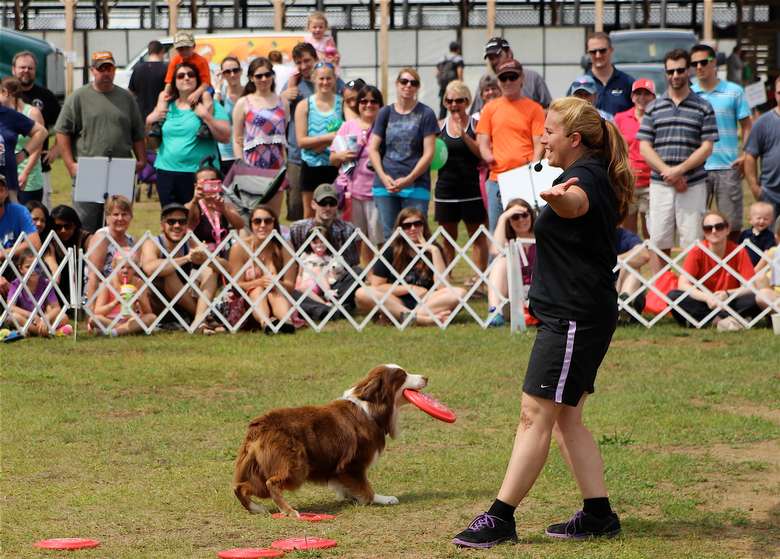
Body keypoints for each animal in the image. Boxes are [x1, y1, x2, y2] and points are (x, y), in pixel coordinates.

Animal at [233, 364, 426, 516]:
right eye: (402, 375)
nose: (426, 377)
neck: (372, 406)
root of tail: (258, 426)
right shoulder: (353, 463)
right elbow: (366, 488)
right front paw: (383, 499)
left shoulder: (339, 468)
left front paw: (350, 496)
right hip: (296, 466)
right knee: (271, 483)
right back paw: (289, 511)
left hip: (260, 468)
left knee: (240, 487)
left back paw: (257, 508)